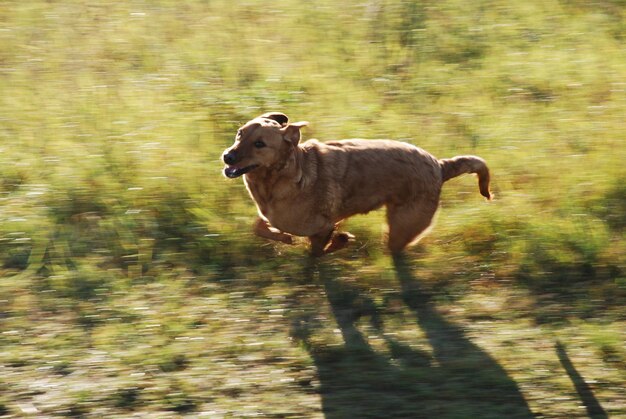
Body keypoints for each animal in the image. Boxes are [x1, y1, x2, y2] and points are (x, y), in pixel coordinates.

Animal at [222, 112, 490, 256]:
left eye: (259, 144)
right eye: (240, 133)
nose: (227, 156)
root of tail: (439, 165)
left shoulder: (323, 226)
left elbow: (316, 251)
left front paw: (337, 242)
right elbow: (258, 225)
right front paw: (282, 237)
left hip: (400, 229)